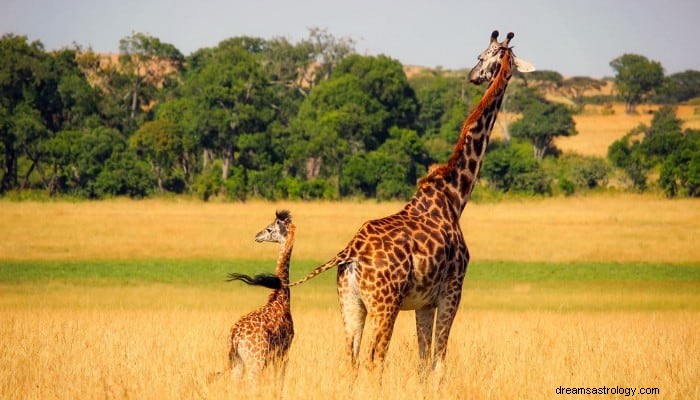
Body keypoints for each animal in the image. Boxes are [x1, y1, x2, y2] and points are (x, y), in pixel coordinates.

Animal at [226, 209, 294, 382]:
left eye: (269, 229)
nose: (257, 236)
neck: (281, 297)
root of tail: (235, 336)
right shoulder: (284, 350)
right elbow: (279, 379)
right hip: (255, 362)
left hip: (238, 363)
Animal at [292, 31, 532, 372]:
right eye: (482, 55)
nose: (473, 76)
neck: (455, 196)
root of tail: (349, 253)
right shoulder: (452, 290)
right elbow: (439, 360)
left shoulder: (424, 302)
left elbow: (423, 360)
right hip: (385, 303)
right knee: (374, 359)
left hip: (351, 304)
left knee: (352, 359)